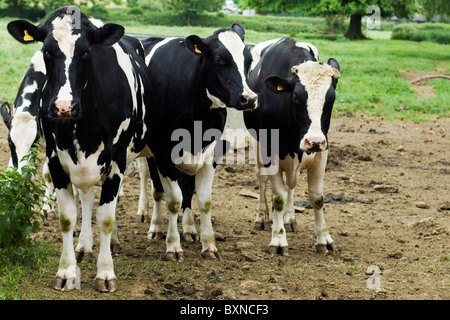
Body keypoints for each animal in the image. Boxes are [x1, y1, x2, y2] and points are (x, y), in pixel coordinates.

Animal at [7, 7, 153, 292]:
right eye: (47, 50)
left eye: (86, 52)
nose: (64, 107)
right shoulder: (56, 160)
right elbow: (68, 216)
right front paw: (66, 271)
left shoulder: (117, 159)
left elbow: (106, 216)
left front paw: (106, 273)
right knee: (87, 197)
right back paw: (85, 244)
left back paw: (115, 239)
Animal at [142, 24, 258, 260]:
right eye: (220, 59)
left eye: (249, 60)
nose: (249, 99)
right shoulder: (163, 154)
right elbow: (173, 200)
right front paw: (173, 247)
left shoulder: (209, 154)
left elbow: (204, 200)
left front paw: (209, 245)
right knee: (157, 189)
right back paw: (156, 227)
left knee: (187, 190)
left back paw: (188, 229)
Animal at [244, 36, 340, 255]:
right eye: (296, 97)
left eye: (331, 99)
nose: (314, 141)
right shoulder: (270, 151)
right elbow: (278, 196)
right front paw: (278, 240)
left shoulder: (321, 153)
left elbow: (317, 197)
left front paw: (324, 239)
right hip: (257, 145)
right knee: (262, 178)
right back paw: (262, 217)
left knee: (290, 184)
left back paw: (289, 218)